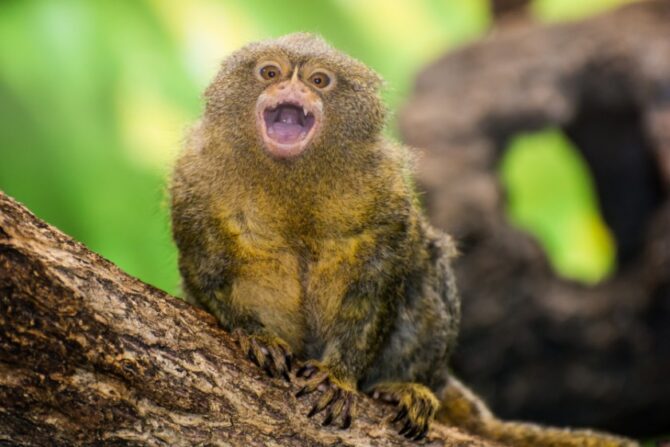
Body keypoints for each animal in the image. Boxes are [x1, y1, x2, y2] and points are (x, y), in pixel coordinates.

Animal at [169, 33, 640, 446]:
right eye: (269, 73)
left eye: (320, 81)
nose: (291, 88)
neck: (290, 179)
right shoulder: (194, 180)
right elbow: (205, 272)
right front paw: (255, 334)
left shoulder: (386, 189)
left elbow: (375, 286)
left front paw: (340, 376)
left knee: (425, 268)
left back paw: (406, 386)